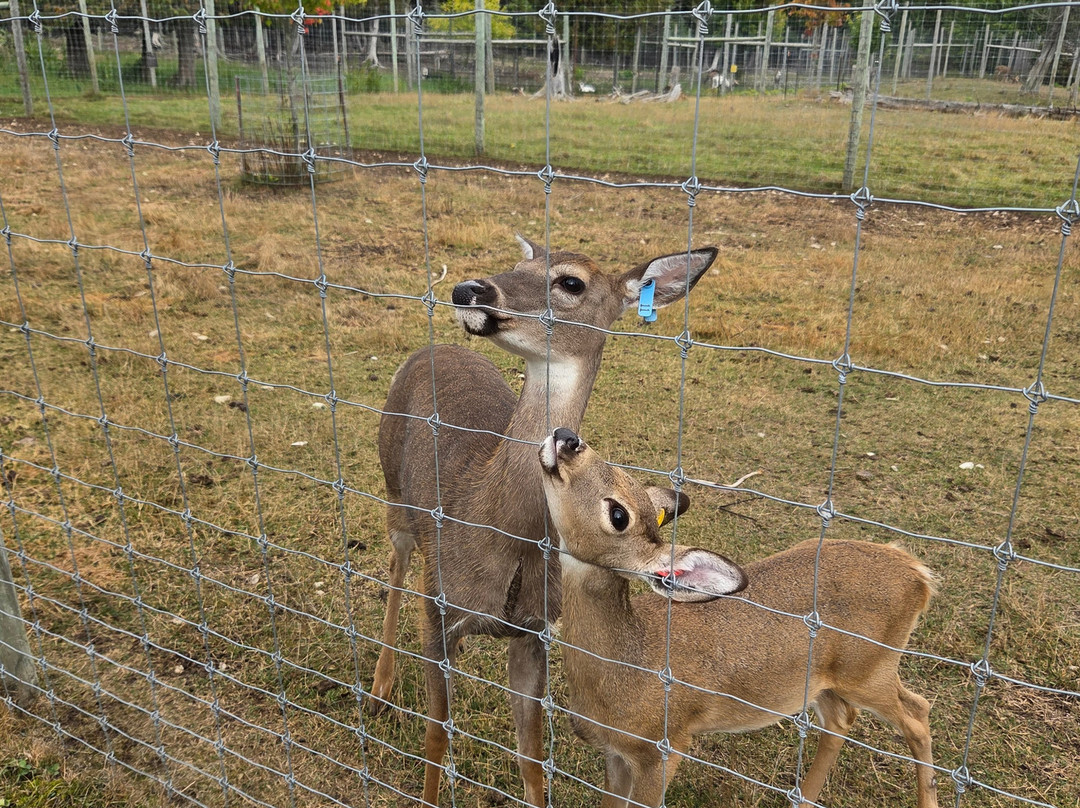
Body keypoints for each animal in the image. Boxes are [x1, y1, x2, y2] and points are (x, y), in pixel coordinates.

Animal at [372, 237, 719, 807]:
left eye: (571, 282)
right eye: (520, 263)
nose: (468, 289)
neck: (496, 526)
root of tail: (430, 350)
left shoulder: (535, 631)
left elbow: (531, 755)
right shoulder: (439, 610)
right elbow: (436, 737)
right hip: (395, 498)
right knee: (397, 570)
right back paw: (379, 688)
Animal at [538, 427, 940, 808]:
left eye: (618, 515)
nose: (568, 438)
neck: (625, 671)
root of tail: (918, 573)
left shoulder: (664, 745)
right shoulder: (616, 754)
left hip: (870, 668)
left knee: (917, 712)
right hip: (824, 680)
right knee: (841, 719)